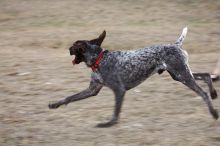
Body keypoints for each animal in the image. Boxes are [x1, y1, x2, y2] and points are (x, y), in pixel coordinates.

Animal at [48, 27, 218, 128]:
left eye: (74, 46)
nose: (68, 49)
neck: (99, 60)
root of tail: (176, 45)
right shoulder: (92, 90)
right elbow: (69, 97)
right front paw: (54, 104)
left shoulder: (119, 90)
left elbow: (115, 112)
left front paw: (109, 124)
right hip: (179, 74)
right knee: (206, 75)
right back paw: (214, 93)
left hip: (183, 75)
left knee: (203, 93)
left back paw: (214, 112)